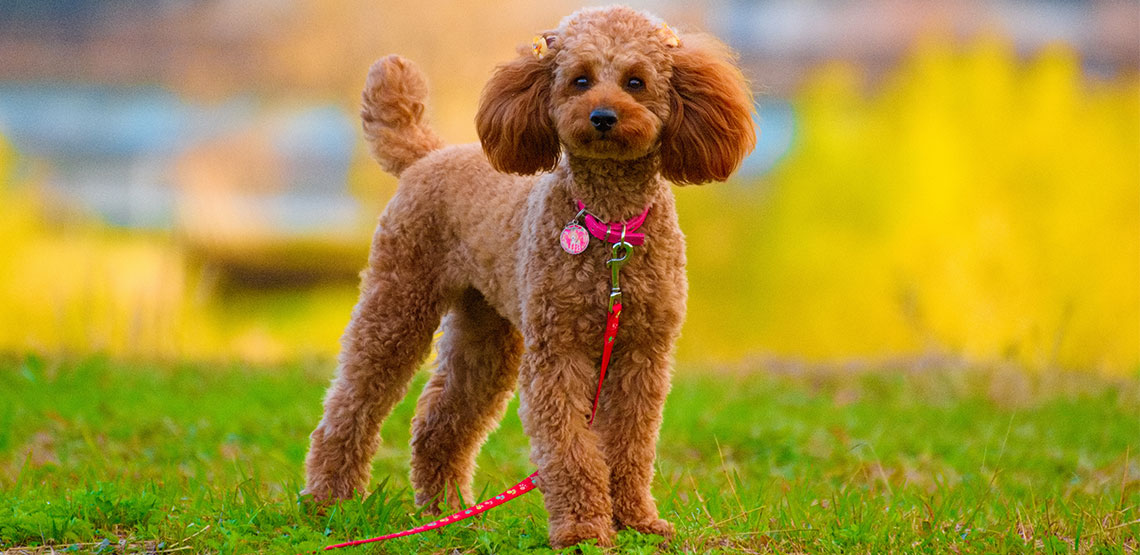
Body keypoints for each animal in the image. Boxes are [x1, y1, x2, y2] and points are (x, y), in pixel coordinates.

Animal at [300, 6, 756, 549]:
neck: (611, 231)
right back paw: (329, 500)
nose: (603, 117)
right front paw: (583, 529)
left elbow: (631, 444)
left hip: (486, 333)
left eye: (636, 82)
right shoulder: (559, 353)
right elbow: (571, 449)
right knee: (352, 403)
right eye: (580, 80)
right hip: (398, 300)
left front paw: (637, 521)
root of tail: (428, 154)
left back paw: (447, 510)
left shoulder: (642, 354)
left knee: (439, 423)